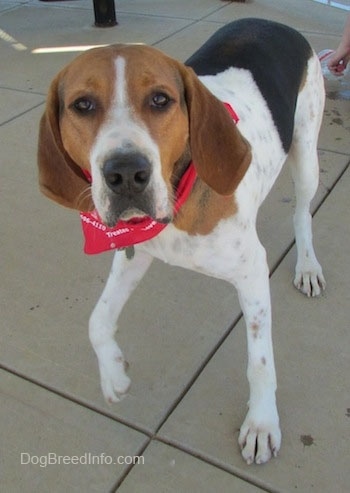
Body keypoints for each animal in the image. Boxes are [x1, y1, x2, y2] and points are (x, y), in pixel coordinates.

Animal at [37, 19, 324, 464]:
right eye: (82, 105)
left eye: (160, 99)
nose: (126, 173)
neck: (177, 203)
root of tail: (273, 21)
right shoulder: (134, 252)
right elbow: (97, 320)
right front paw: (113, 374)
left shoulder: (253, 272)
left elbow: (260, 362)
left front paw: (261, 423)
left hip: (307, 154)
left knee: (302, 213)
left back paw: (307, 265)